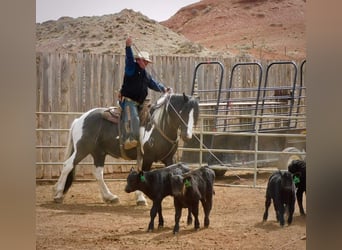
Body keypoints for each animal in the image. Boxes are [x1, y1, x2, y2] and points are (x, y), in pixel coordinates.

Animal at [52, 93, 199, 205]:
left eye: (196, 114)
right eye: (183, 112)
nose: (187, 135)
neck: (159, 126)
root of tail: (80, 119)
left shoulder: (169, 158)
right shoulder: (147, 157)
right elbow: (142, 174)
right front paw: (141, 198)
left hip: (99, 153)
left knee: (98, 173)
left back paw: (110, 197)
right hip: (82, 149)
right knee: (68, 165)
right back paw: (58, 193)